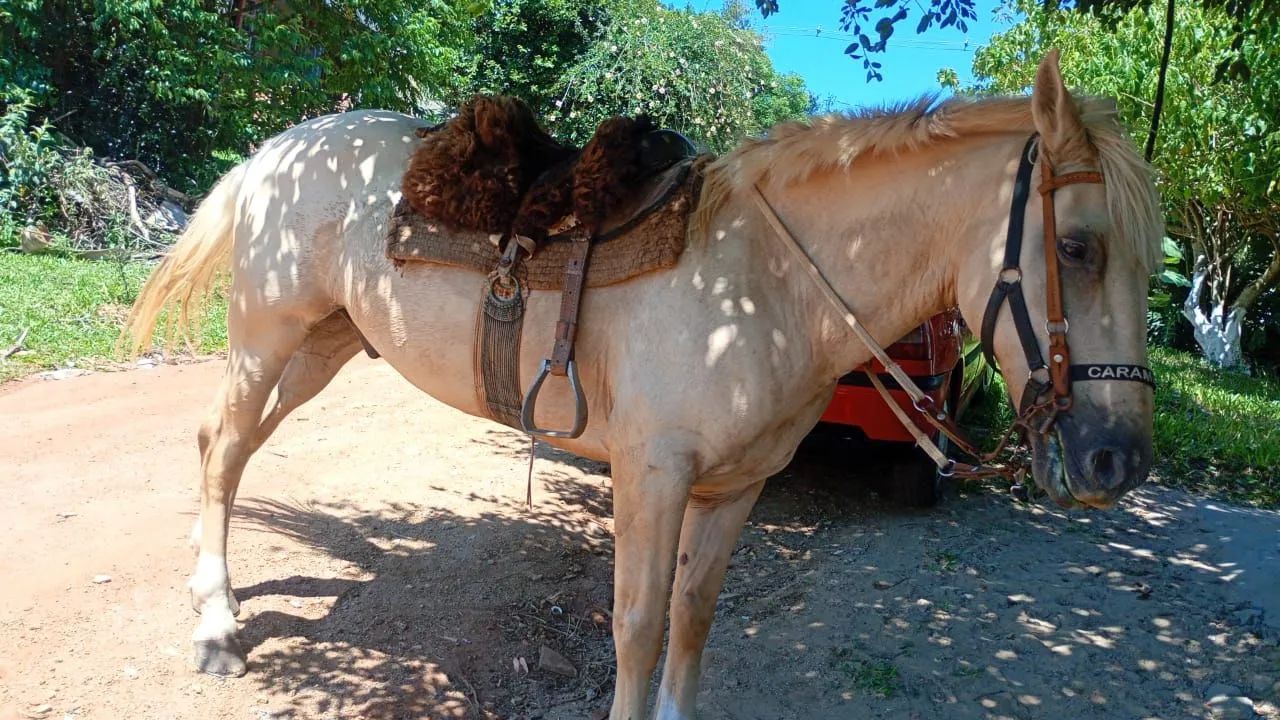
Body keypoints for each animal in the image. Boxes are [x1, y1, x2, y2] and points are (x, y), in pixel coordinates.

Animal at [125, 51, 1162, 720]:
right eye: (1077, 248)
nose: (1119, 460)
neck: (765, 282)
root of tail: (276, 151)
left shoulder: (736, 489)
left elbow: (692, 622)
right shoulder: (651, 477)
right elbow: (635, 624)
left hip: (322, 345)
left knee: (230, 451)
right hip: (267, 339)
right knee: (221, 451)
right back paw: (216, 629)